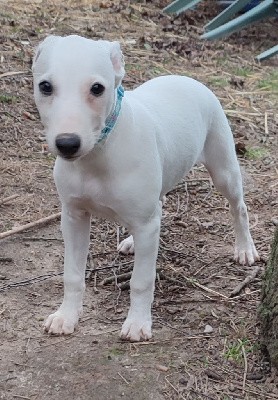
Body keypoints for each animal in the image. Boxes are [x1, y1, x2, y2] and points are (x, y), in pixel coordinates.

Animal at [32, 35, 258, 340]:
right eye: (45, 86)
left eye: (97, 88)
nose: (67, 143)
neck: (101, 150)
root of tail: (186, 78)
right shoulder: (73, 217)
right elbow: (72, 274)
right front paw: (66, 316)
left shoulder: (144, 224)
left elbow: (141, 280)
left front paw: (138, 323)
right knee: (158, 207)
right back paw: (131, 241)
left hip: (224, 169)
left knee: (239, 207)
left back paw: (245, 248)